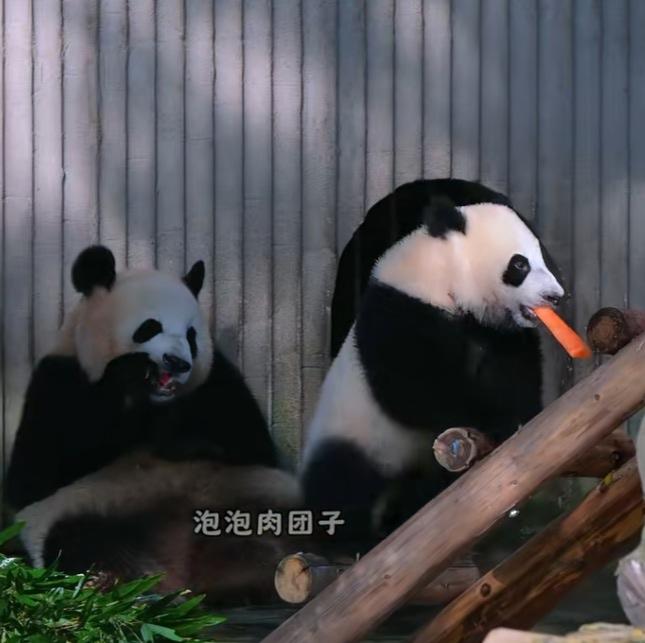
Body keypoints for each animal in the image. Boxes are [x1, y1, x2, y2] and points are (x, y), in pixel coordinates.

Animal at [5, 245, 301, 605]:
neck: (150, 402)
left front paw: (184, 439)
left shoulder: (218, 382)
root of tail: (187, 571)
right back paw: (118, 581)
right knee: (79, 540)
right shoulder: (57, 380)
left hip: (262, 497)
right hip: (84, 513)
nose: (177, 363)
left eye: (191, 336)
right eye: (149, 327)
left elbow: (252, 446)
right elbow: (33, 478)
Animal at [302, 179, 565, 549]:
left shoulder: (495, 332)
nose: (554, 296)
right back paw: (352, 541)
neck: (447, 278)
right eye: (520, 265)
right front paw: (492, 420)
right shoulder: (402, 310)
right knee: (342, 481)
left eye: (542, 257)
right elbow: (414, 387)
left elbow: (515, 374)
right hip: (355, 432)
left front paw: (520, 419)